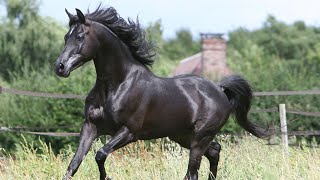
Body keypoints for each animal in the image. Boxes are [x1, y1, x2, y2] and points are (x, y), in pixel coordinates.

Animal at [54, 5, 270, 180]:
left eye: (80, 37)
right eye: (65, 37)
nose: (60, 67)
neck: (116, 85)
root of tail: (219, 89)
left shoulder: (129, 132)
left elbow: (100, 154)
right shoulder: (90, 127)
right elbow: (74, 164)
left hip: (199, 139)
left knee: (192, 172)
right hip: (183, 136)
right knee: (214, 151)